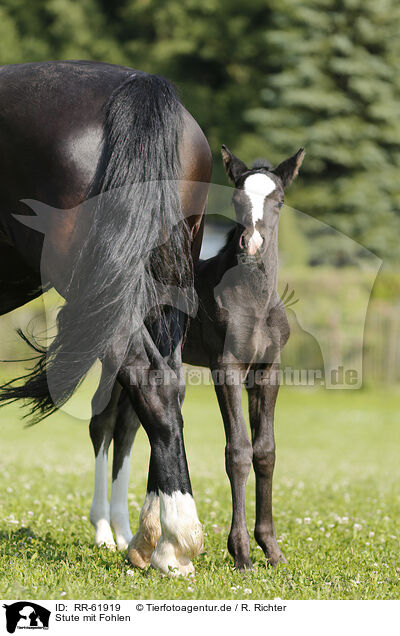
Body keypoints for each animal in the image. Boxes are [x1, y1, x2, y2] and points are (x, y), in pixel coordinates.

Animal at [88, 145, 304, 572]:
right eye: (237, 200)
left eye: (279, 201)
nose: (252, 245)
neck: (252, 300)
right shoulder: (227, 369)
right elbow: (238, 450)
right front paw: (241, 554)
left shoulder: (268, 371)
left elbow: (266, 451)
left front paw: (271, 550)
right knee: (101, 423)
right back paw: (105, 531)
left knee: (127, 426)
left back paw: (127, 536)